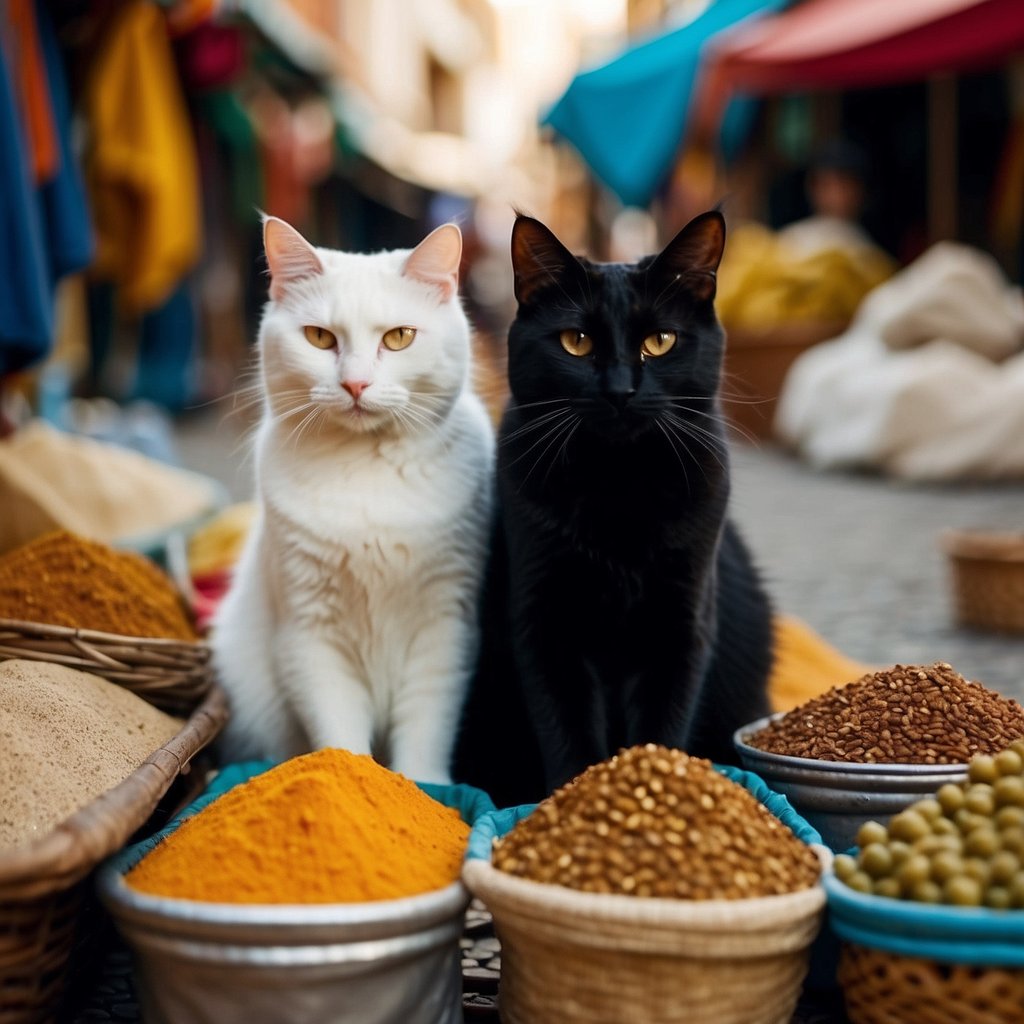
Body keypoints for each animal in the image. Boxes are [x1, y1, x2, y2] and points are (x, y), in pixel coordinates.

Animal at [209, 214, 493, 774]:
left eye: (400, 337)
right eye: (319, 338)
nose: (356, 384)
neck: (367, 469)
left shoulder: (444, 627)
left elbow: (425, 733)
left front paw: (420, 786)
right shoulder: (309, 634)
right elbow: (339, 732)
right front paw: (353, 778)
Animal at [452, 211, 770, 811]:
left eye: (660, 341)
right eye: (576, 342)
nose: (620, 389)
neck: (618, 489)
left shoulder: (681, 623)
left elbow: (661, 726)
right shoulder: (544, 622)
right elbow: (568, 731)